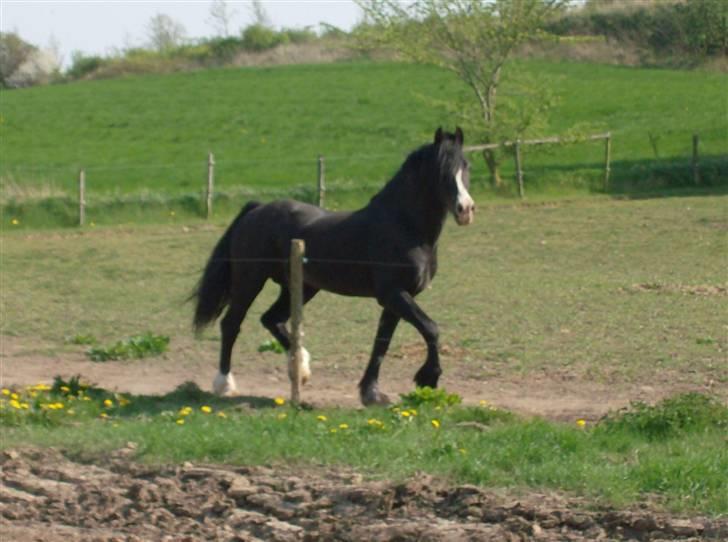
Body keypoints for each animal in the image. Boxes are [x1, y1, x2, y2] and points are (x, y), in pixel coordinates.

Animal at [193, 127, 474, 406]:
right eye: (441, 169)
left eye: (465, 166)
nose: (466, 209)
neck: (404, 227)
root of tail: (257, 209)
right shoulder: (393, 294)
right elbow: (431, 329)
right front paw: (428, 378)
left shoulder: (398, 297)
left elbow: (382, 342)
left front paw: (372, 393)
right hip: (249, 280)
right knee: (231, 323)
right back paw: (225, 384)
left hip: (300, 287)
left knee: (271, 319)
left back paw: (301, 369)